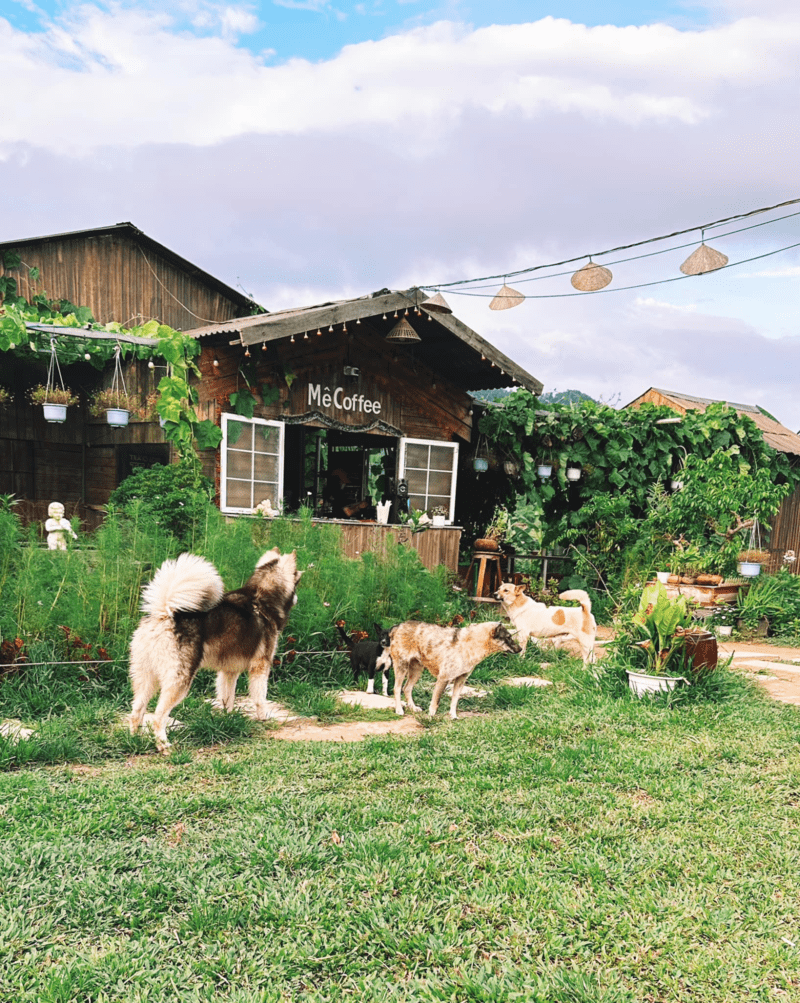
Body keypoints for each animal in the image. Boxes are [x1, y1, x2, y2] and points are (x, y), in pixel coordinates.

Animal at [128, 549, 304, 754]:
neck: (260, 599)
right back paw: (164, 746)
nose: (298, 598)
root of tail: (165, 613)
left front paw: (228, 720)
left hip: (145, 678)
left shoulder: (229, 671)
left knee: (136, 711)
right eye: (298, 582)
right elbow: (260, 697)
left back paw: (135, 740)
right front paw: (264, 717)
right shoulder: (260, 666)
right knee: (158, 716)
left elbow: (227, 699)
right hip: (179, 681)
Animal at [386, 617, 521, 722]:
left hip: (416, 671)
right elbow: (435, 703)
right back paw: (399, 710)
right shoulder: (443, 679)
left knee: (406, 688)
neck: (470, 644)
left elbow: (454, 701)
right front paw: (430, 718)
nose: (520, 649)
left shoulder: (460, 680)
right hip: (402, 668)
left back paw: (413, 708)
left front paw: (453, 716)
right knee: (397, 689)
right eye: (508, 637)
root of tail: (397, 627)